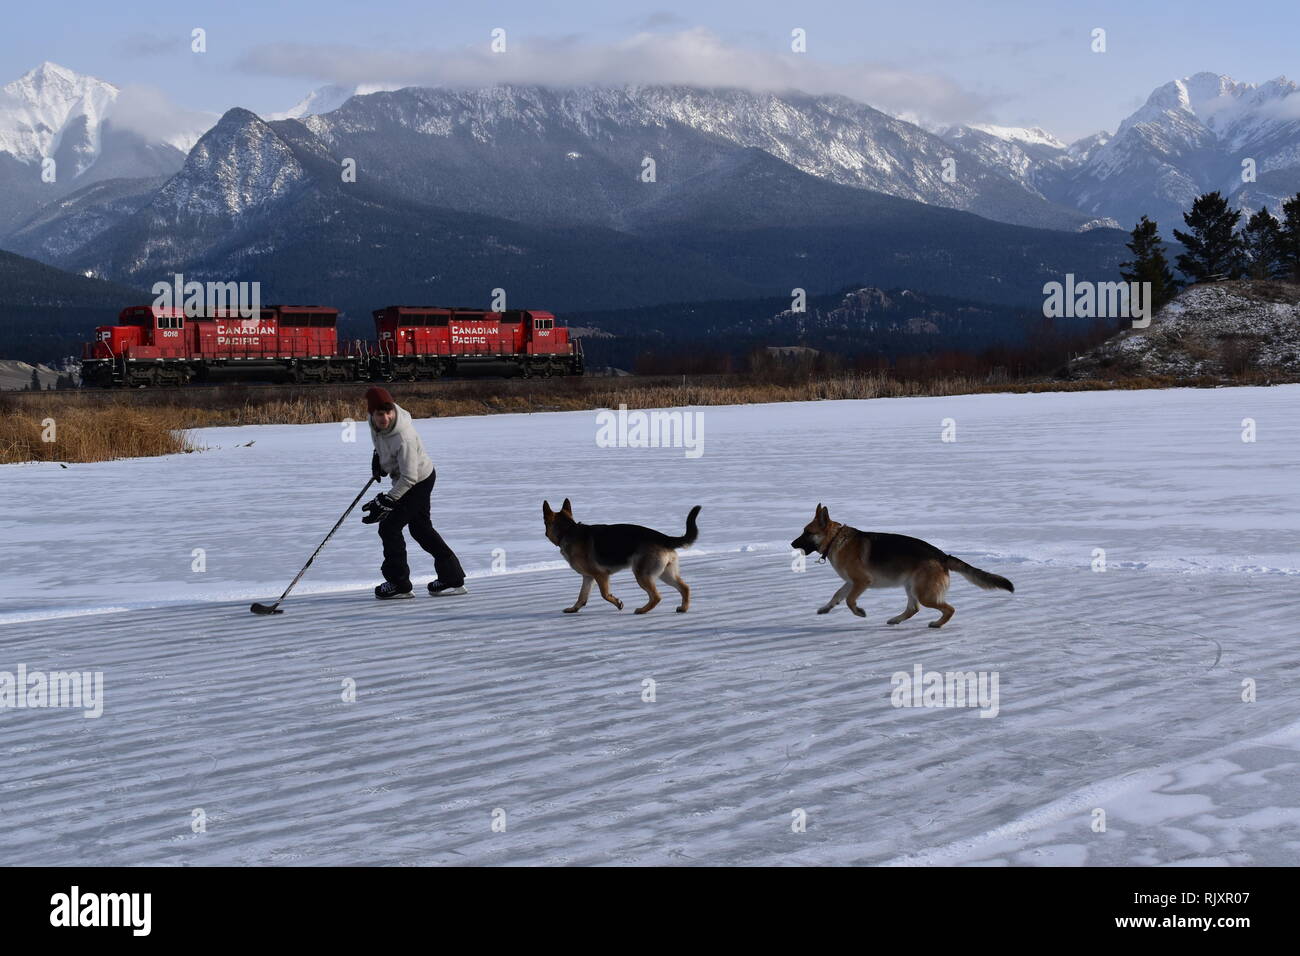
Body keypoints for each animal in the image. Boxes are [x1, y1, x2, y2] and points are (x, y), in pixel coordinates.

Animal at [540, 496, 702, 616]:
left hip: (642, 575)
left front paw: (618, 603)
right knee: (685, 588)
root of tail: (664, 538)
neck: (567, 530)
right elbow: (582, 596)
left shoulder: (601, 575)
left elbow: (605, 594)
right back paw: (683, 608)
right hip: (665, 574)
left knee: (656, 596)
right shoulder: (588, 577)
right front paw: (574, 609)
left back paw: (642, 610)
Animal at [790, 504, 1013, 632]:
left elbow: (850, 601)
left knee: (949, 608)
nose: (792, 544)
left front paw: (860, 612)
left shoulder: (861, 582)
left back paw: (937, 624)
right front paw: (826, 608)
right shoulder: (851, 582)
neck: (836, 539)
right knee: (913, 608)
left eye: (807, 532)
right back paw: (896, 620)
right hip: (911, 587)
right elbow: (837, 595)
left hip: (924, 593)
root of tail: (942, 555)